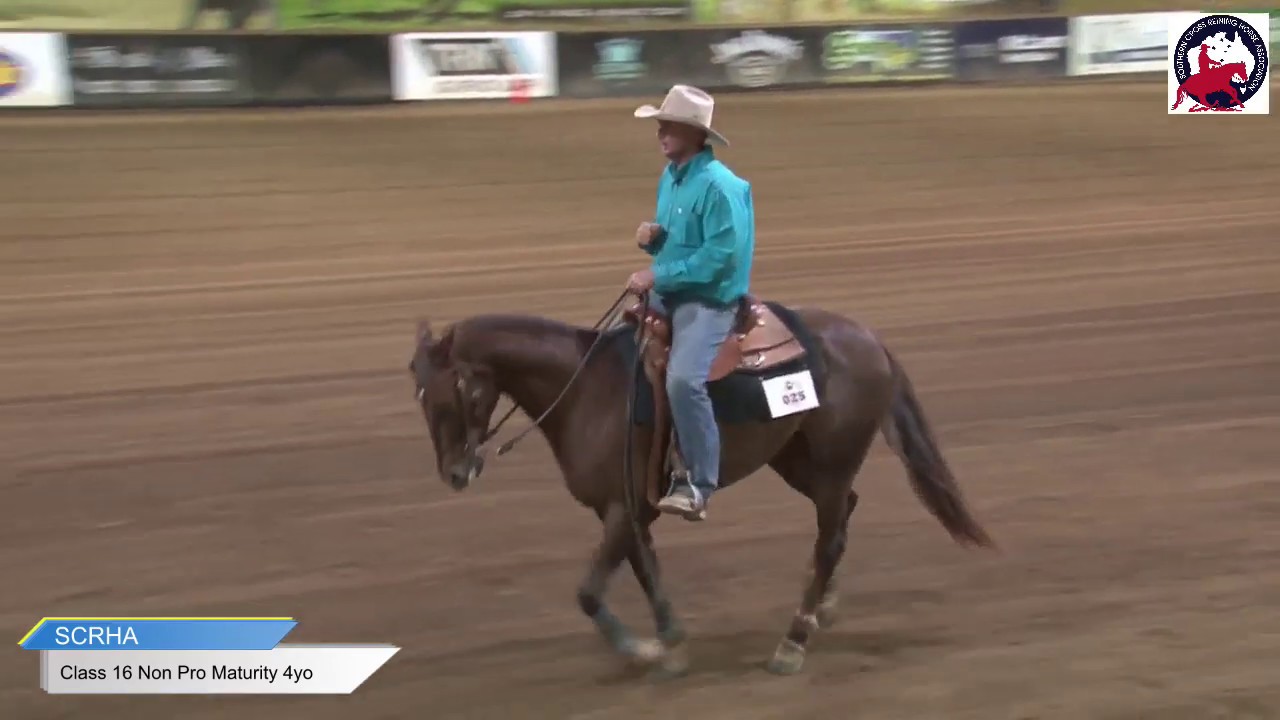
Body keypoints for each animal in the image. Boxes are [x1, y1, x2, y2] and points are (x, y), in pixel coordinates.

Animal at [407, 293, 994, 677]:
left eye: (459, 391)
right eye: (419, 395)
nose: (455, 473)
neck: (585, 391)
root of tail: (871, 341)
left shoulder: (620, 509)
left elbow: (589, 592)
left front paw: (641, 651)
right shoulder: (627, 512)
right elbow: (648, 573)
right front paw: (671, 643)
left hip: (831, 463)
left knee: (830, 537)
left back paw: (793, 641)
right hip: (795, 460)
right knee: (844, 515)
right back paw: (821, 608)